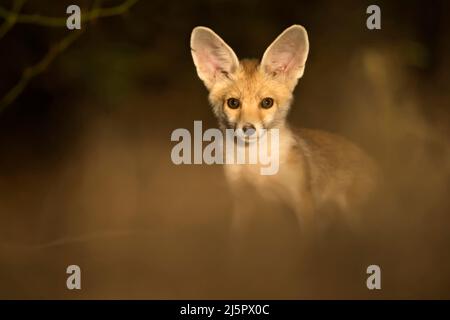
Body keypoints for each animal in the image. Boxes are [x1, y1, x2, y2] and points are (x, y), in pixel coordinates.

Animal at [188, 25, 378, 230]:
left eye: (267, 102)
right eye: (233, 103)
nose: (248, 129)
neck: (256, 166)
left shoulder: (302, 199)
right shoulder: (243, 201)